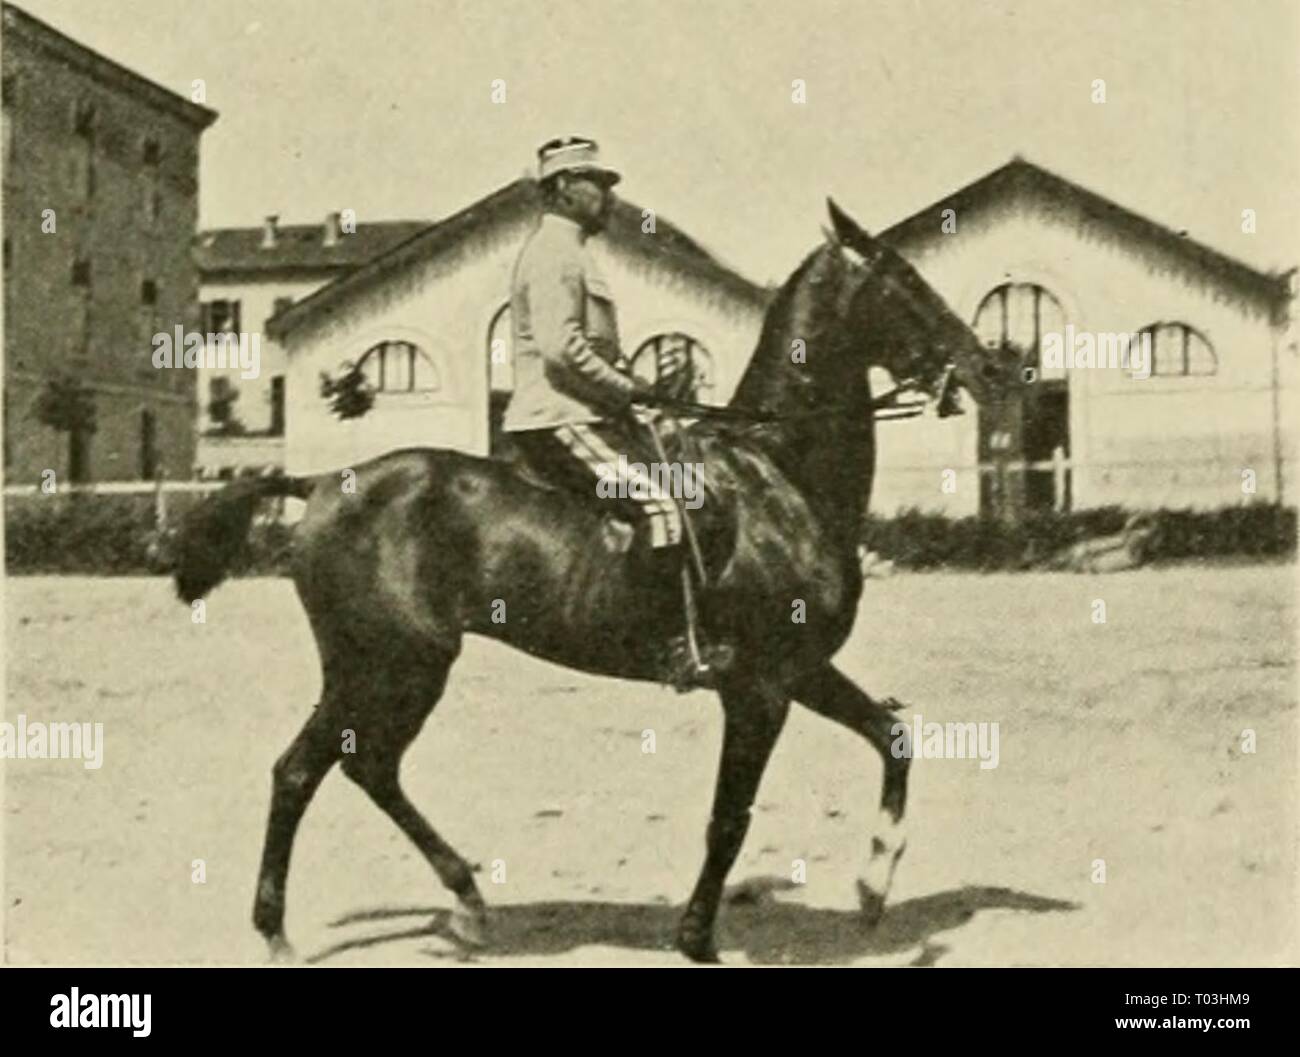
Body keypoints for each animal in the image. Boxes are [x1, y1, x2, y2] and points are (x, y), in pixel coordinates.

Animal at [172, 200, 1003, 967]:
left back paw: (463, 903)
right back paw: (286, 929)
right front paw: (696, 937)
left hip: (391, 667)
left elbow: (892, 735)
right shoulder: (759, 686)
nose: (990, 366)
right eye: (904, 279)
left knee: (357, 767)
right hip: (387, 663)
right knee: (308, 769)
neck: (777, 472)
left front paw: (873, 885)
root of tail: (322, 483)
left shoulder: (801, 669)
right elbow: (729, 816)